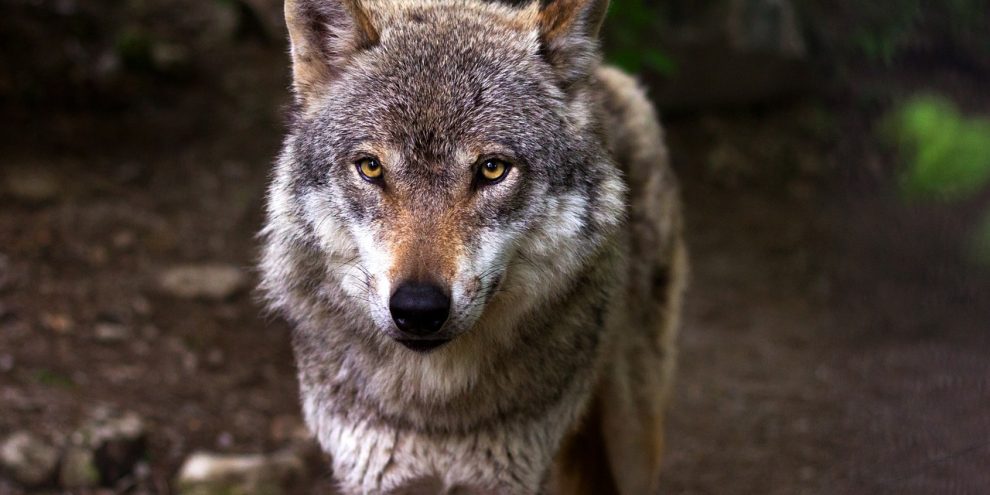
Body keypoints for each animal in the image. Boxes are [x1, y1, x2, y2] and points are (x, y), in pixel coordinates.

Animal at [258, 0, 687, 493]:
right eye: (370, 168)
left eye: (492, 169)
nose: (418, 308)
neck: (437, 411)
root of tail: (608, 75)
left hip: (632, 437)